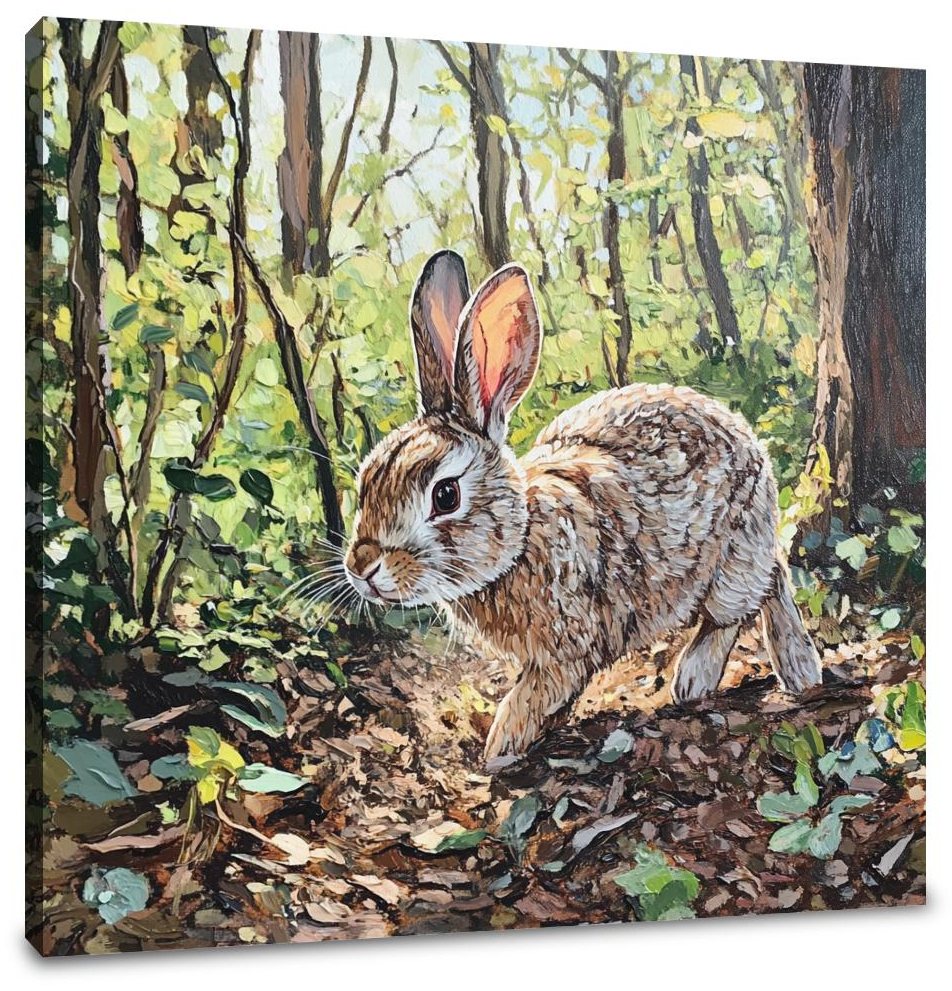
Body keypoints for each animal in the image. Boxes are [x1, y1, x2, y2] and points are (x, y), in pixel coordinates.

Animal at [343, 250, 823, 765]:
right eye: (365, 480)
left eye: (445, 495)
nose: (361, 567)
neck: (521, 538)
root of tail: (745, 434)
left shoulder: (568, 647)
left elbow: (533, 696)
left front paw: (499, 748)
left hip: (735, 551)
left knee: (757, 590)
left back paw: (760, 672)